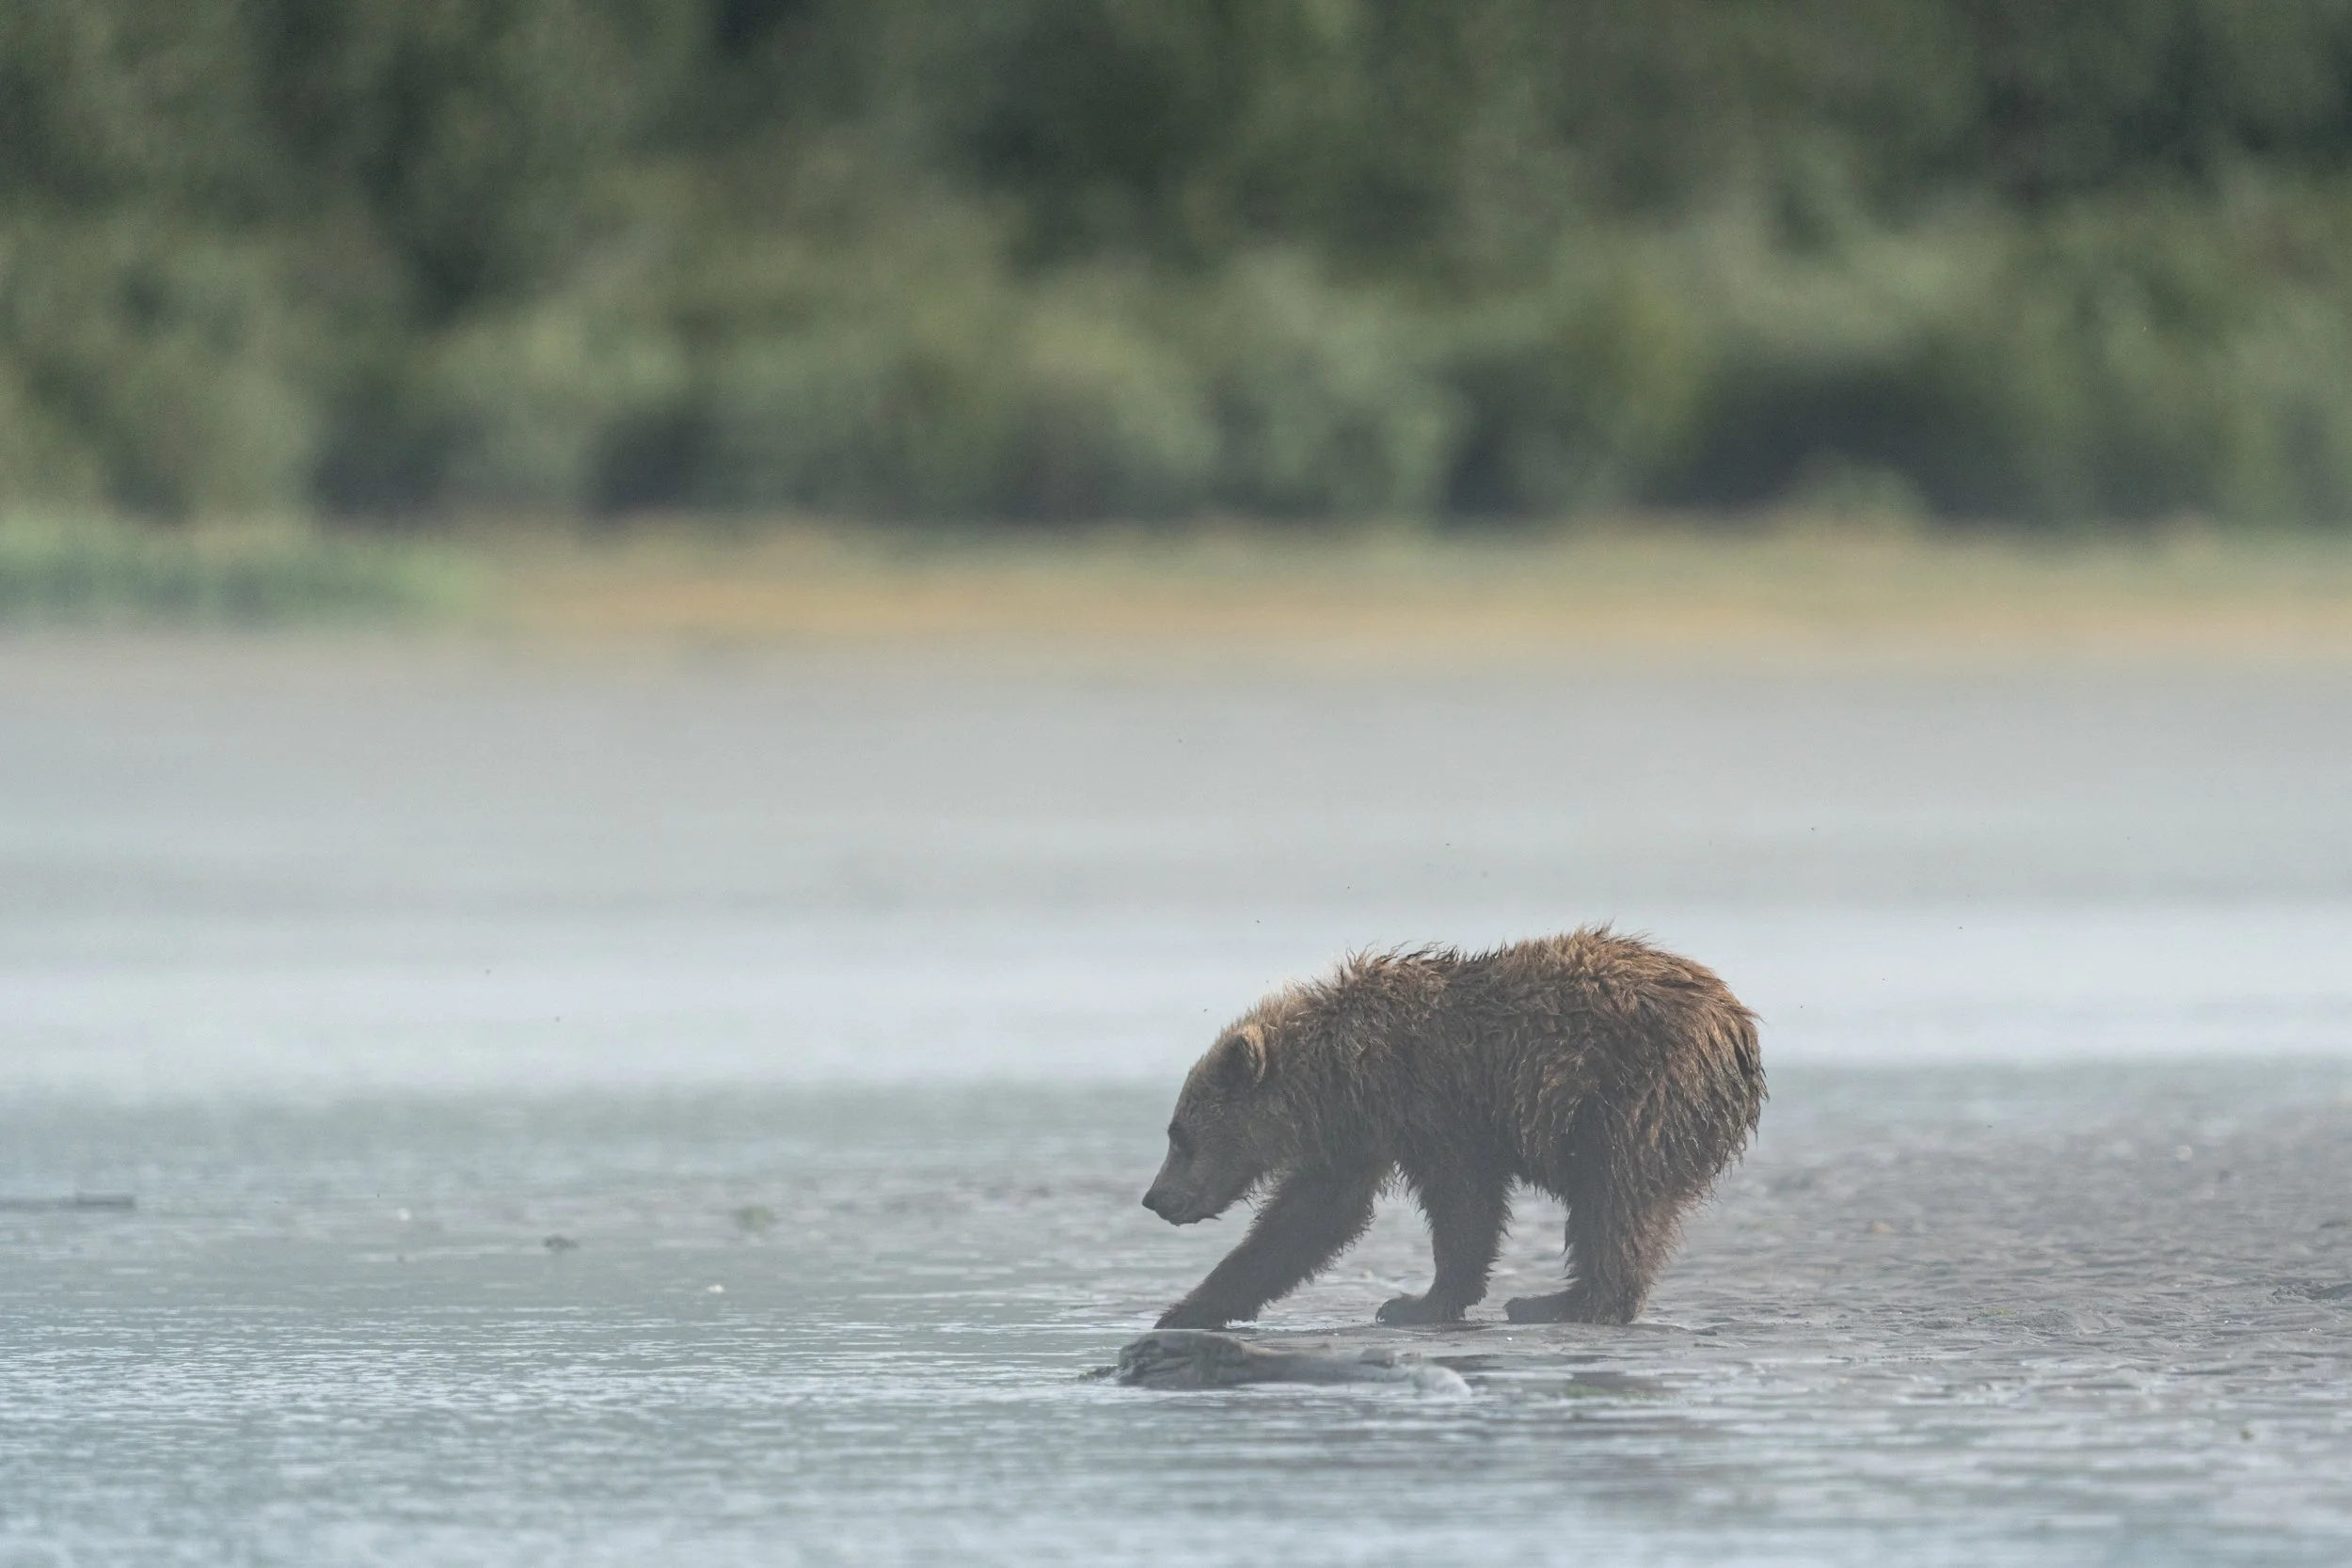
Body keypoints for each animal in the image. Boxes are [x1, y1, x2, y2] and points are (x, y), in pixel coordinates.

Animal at [1141, 928, 1763, 1329]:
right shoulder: (1359, 1136)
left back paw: (1569, 1302)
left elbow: (1463, 1204)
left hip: (1636, 1093)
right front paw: (1190, 1307)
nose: (1155, 1198)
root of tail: (1738, 1027)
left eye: (1179, 1135)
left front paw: (1415, 1302)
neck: (1342, 1074)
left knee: (1616, 1196)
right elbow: (1309, 1219)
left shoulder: (1435, 1108)